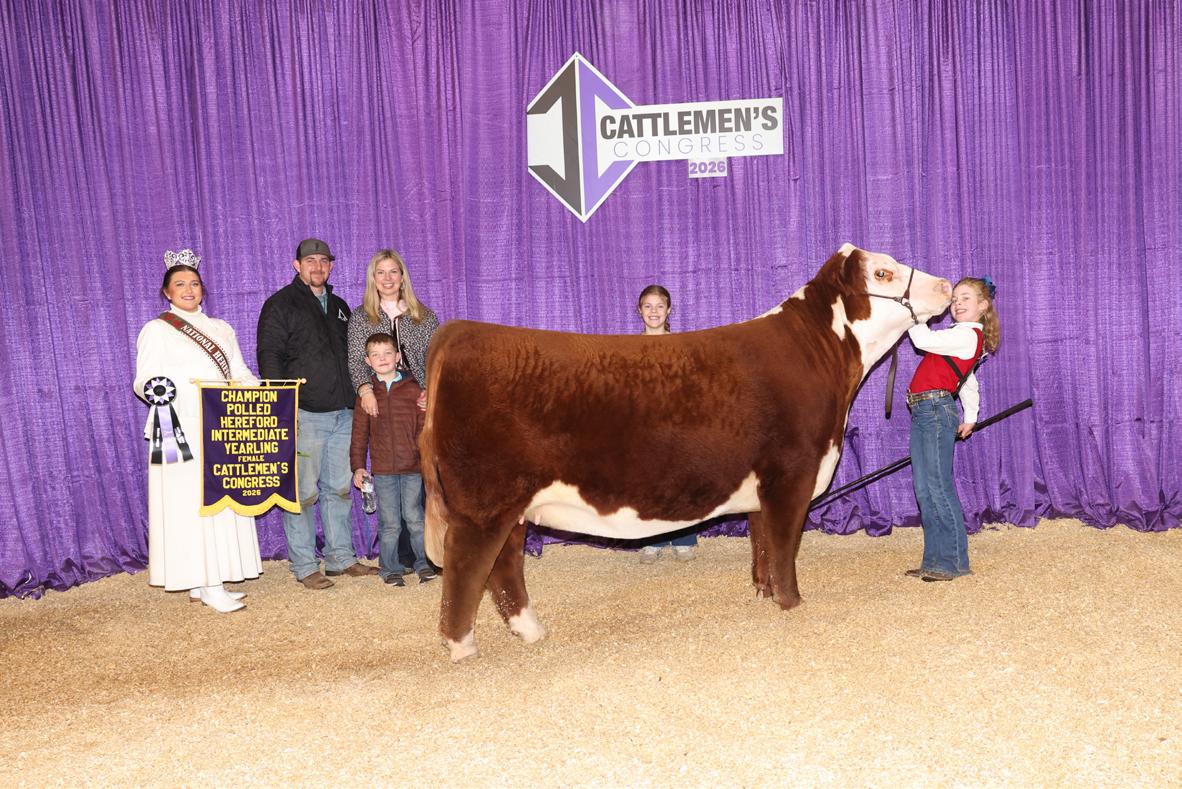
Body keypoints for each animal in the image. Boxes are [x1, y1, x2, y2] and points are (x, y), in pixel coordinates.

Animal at [421, 244, 952, 660]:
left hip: (510, 506)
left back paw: (531, 631)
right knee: (468, 564)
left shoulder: (761, 483)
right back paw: (462, 646)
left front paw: (762, 593)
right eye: (881, 273)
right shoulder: (792, 473)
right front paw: (791, 603)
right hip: (485, 503)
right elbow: (784, 545)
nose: (947, 284)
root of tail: (461, 331)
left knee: (504, 565)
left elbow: (761, 540)